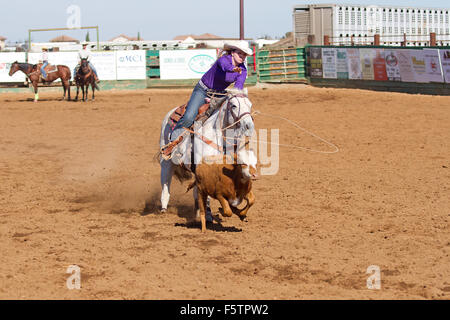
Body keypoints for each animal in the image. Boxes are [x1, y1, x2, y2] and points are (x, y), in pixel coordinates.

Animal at [159, 90, 255, 218]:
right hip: (166, 162)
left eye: (250, 105)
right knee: (165, 182)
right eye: (234, 105)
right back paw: (164, 209)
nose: (249, 126)